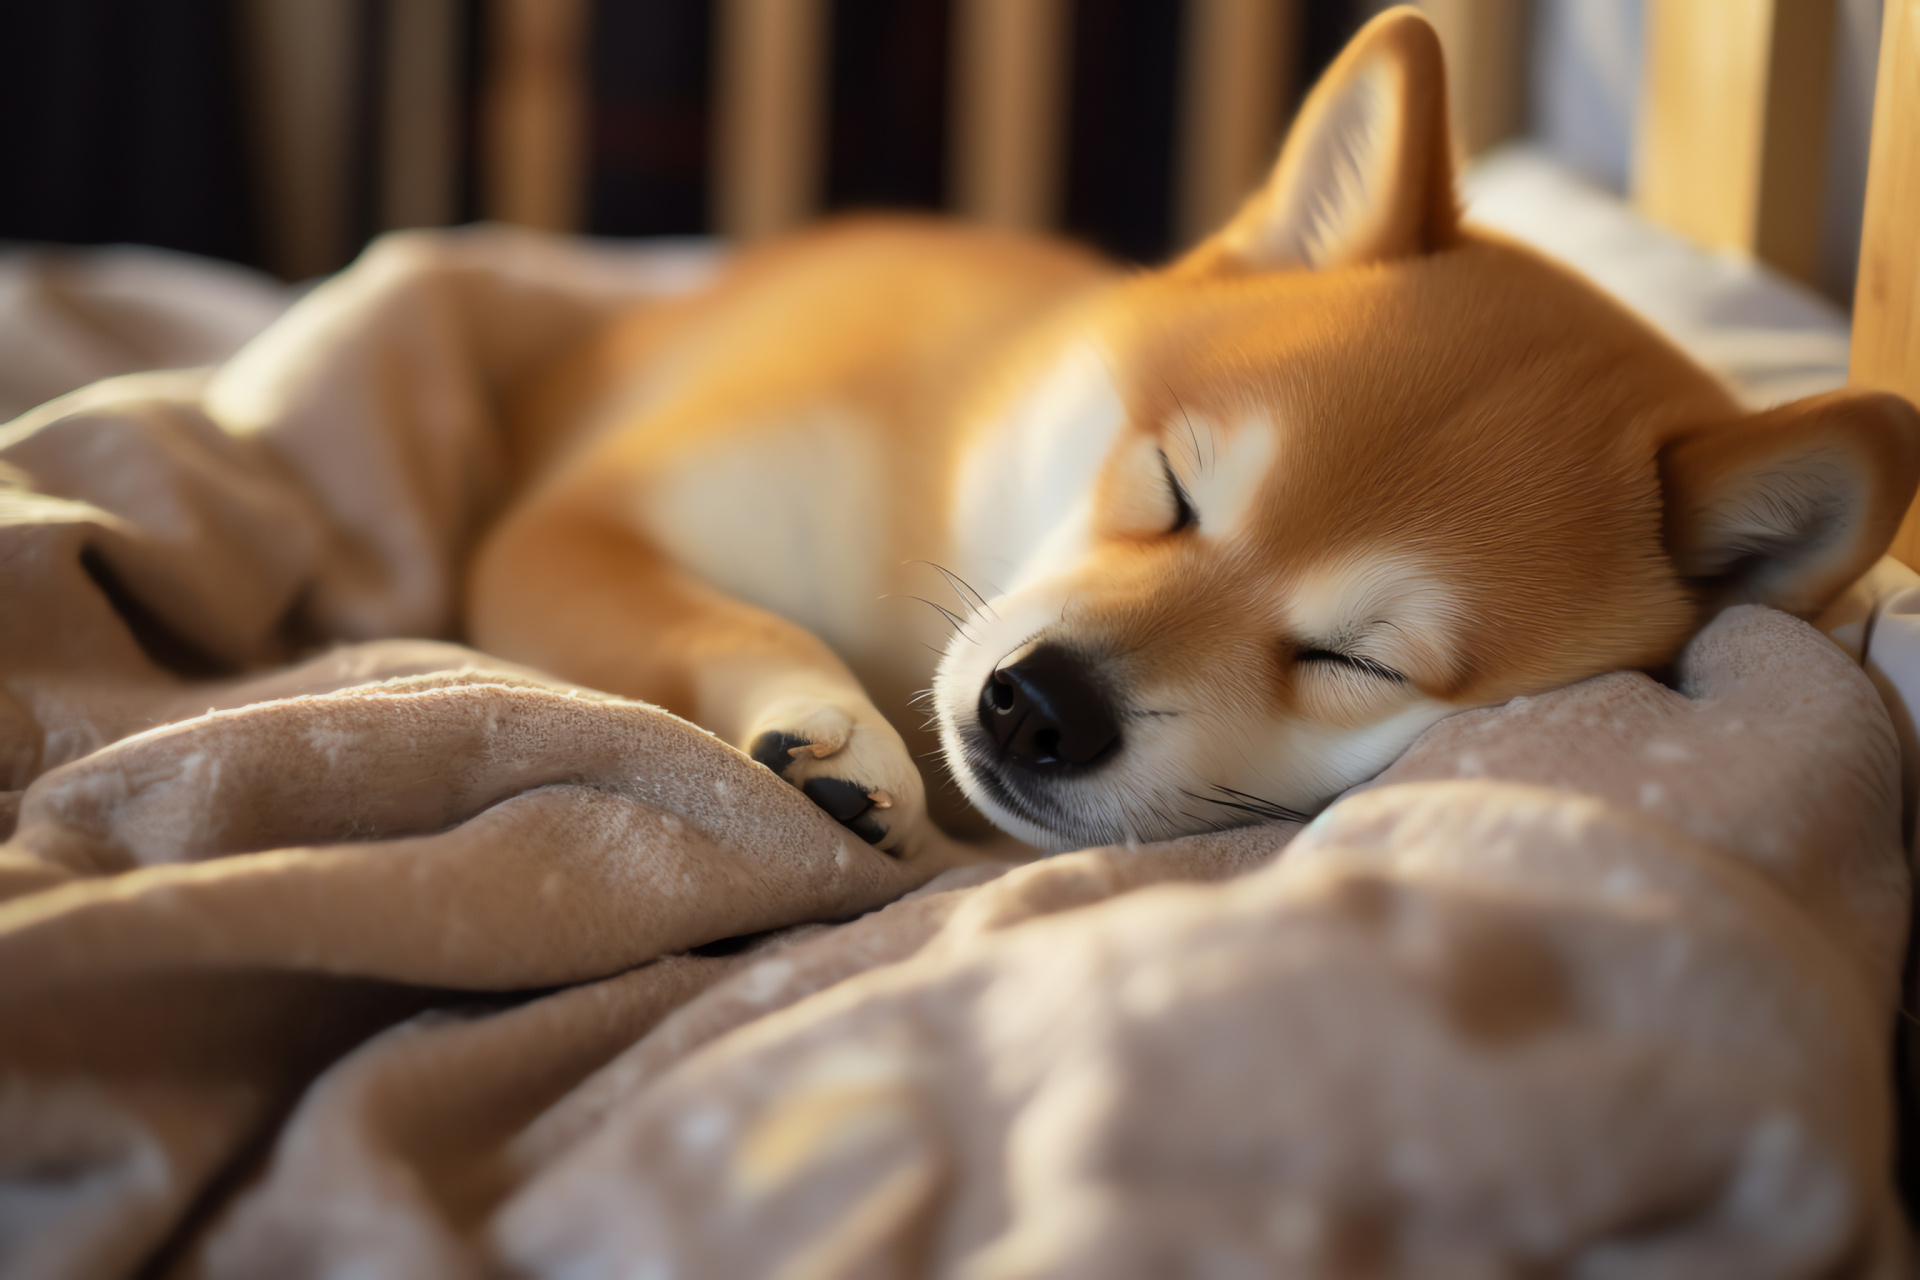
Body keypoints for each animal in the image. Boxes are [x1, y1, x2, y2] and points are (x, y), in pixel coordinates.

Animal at [468, 10, 1920, 855]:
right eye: (1171, 487)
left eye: (1355, 659)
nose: (1041, 708)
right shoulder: (578, 528)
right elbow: (717, 616)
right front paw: (818, 723)